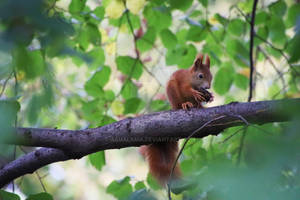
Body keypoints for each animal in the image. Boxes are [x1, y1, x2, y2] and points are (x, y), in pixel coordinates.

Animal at [141, 53, 213, 186]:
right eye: (200, 76)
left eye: (211, 76)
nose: (208, 87)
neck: (191, 78)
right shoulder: (183, 82)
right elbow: (186, 89)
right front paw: (194, 92)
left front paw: (210, 96)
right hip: (173, 91)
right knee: (180, 104)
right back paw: (185, 104)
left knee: (196, 104)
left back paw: (198, 106)